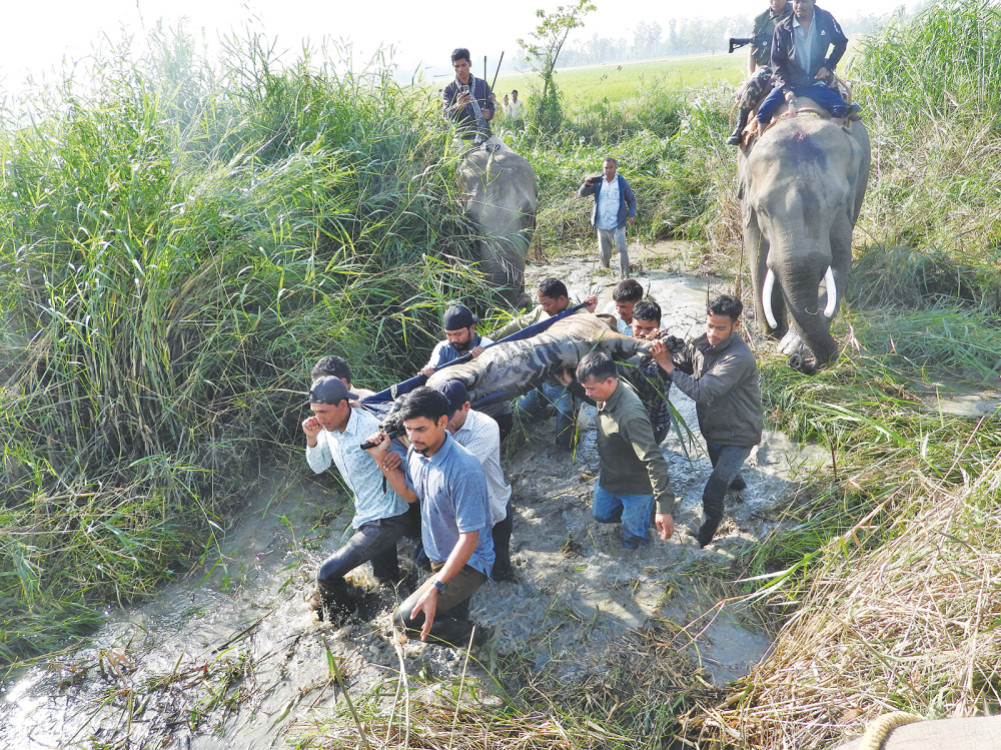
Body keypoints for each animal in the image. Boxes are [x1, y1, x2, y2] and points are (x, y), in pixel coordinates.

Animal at [740, 96, 872, 372]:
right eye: (762, 209)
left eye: (837, 203)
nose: (801, 362)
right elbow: (757, 254)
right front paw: (771, 335)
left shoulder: (848, 198)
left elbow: (840, 260)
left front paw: (790, 346)